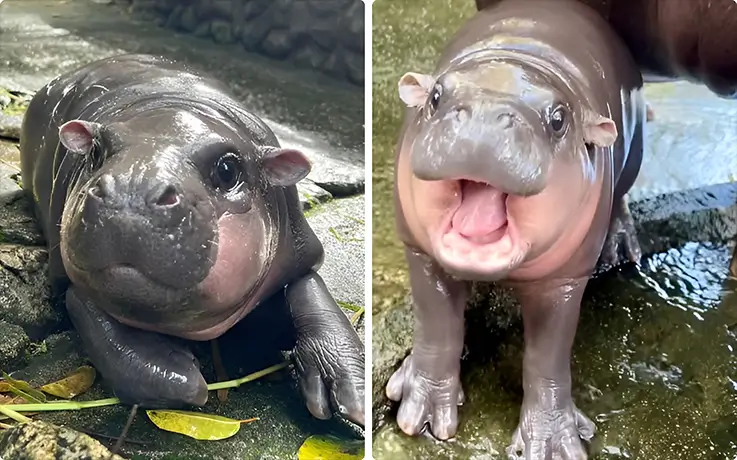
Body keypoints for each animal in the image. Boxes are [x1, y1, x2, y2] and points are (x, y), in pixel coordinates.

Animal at [19, 54, 364, 426]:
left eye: (228, 169)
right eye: (96, 152)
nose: (132, 189)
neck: (174, 103)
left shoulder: (300, 248)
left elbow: (312, 295)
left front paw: (352, 396)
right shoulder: (68, 273)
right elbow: (89, 311)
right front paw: (179, 371)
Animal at [388, 0, 644, 458]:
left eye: (559, 119)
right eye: (435, 97)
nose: (486, 119)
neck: (517, 60)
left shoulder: (564, 280)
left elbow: (547, 358)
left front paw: (554, 445)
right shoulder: (419, 250)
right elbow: (437, 325)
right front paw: (421, 418)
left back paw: (621, 248)